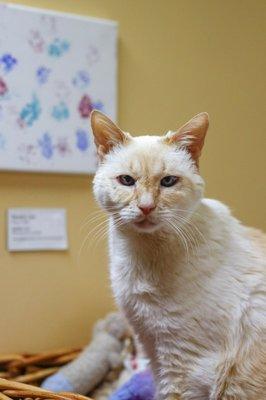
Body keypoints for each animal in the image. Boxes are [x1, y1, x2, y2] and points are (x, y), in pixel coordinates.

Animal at [91, 110, 264, 400]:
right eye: (127, 180)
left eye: (168, 181)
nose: (146, 207)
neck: (143, 255)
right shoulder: (152, 349)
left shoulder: (182, 363)